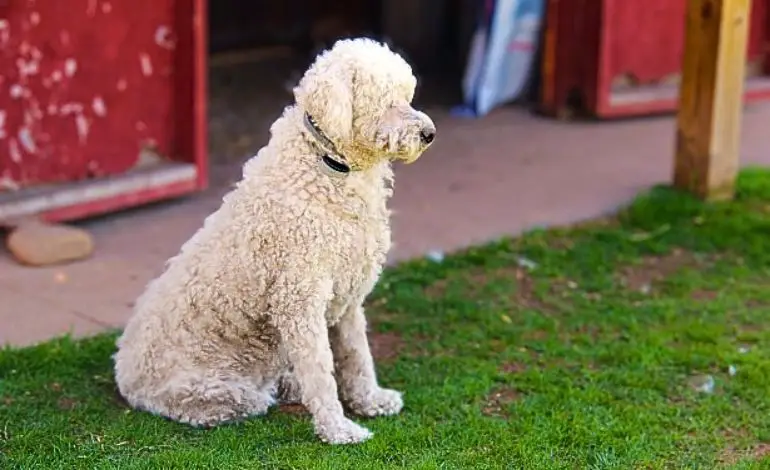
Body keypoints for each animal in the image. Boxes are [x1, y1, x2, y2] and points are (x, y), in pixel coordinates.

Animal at [115, 37, 438, 444]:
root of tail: (123, 369)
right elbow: (321, 372)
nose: (429, 133)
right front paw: (339, 429)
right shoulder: (299, 300)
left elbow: (357, 355)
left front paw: (371, 400)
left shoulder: (349, 296)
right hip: (215, 390)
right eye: (386, 101)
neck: (328, 163)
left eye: (408, 96)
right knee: (239, 401)